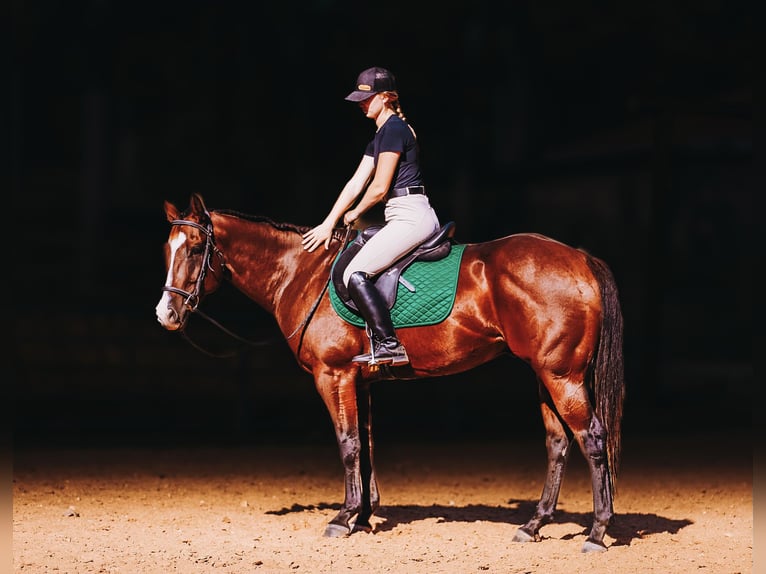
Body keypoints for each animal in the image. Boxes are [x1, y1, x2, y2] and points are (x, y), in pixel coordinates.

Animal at [155, 193, 625, 552]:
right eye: (167, 251)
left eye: (194, 248)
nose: (166, 315)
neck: (304, 273)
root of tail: (579, 257)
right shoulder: (359, 381)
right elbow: (365, 446)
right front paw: (363, 516)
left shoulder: (333, 376)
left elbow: (348, 445)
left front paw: (342, 517)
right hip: (546, 375)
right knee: (558, 443)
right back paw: (534, 525)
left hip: (562, 376)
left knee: (592, 439)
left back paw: (597, 532)